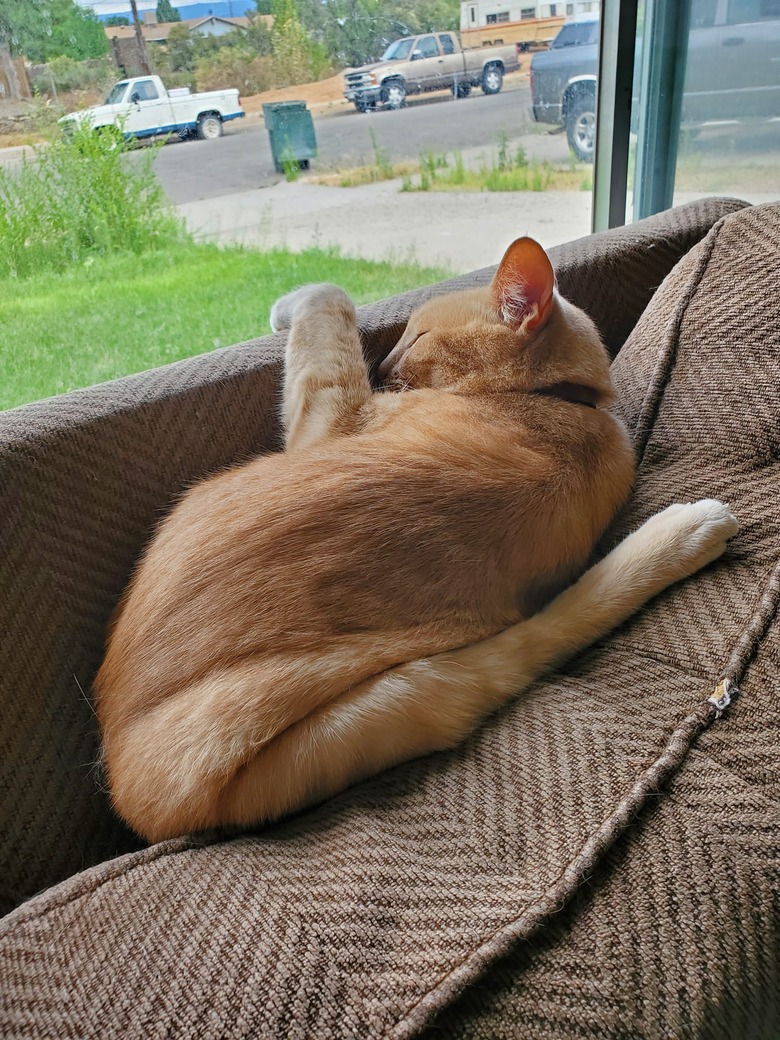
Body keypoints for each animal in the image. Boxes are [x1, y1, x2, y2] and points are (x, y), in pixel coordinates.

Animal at [93, 239, 740, 840]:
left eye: (417, 335)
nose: (380, 369)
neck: (558, 402)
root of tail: (124, 774)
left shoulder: (331, 419)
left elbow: (328, 301)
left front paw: (286, 308)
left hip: (405, 697)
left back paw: (693, 527)